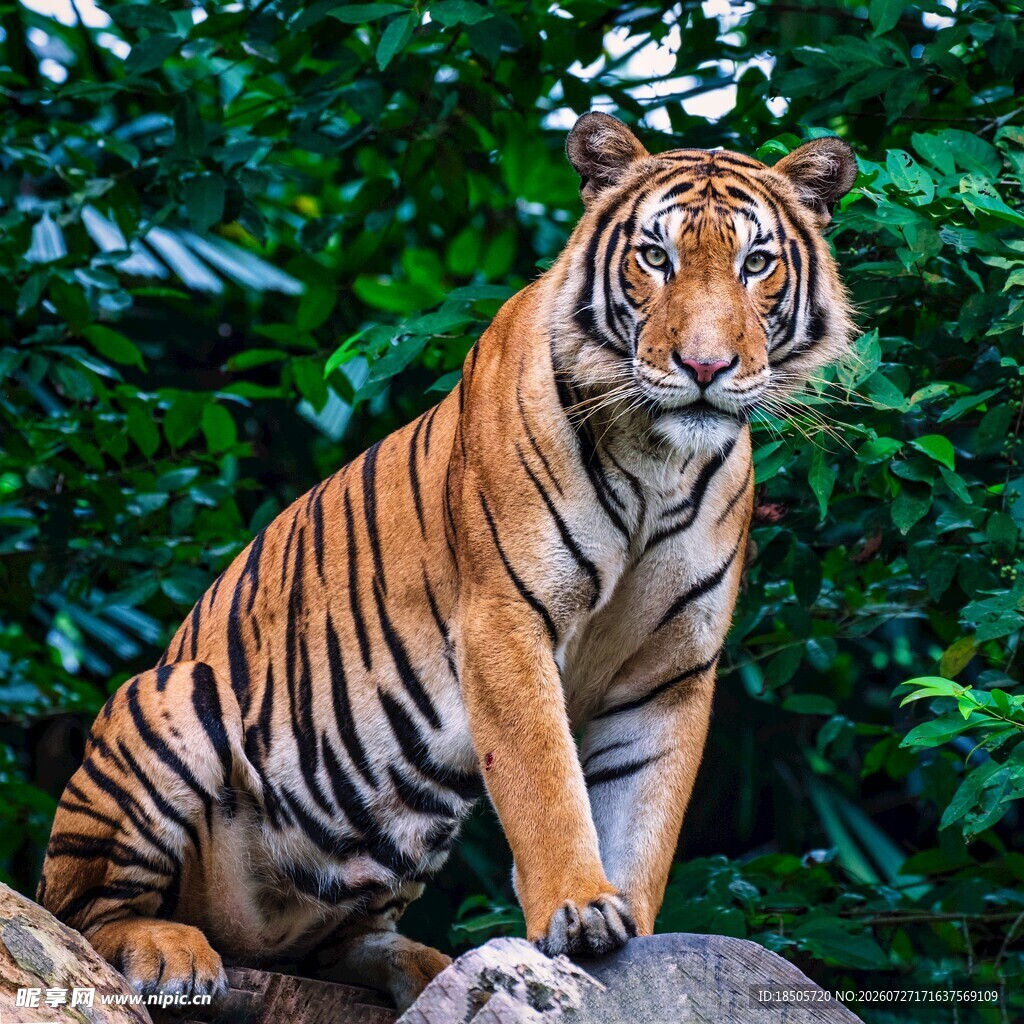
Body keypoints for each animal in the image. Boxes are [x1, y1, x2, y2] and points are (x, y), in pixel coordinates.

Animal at [38, 112, 857, 1012]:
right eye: (655, 257)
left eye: (756, 264)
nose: (705, 368)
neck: (660, 458)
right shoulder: (505, 618)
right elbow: (545, 783)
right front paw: (579, 909)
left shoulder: (672, 665)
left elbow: (646, 808)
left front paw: (635, 936)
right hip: (169, 701)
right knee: (82, 913)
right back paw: (170, 952)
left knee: (335, 945)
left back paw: (425, 968)